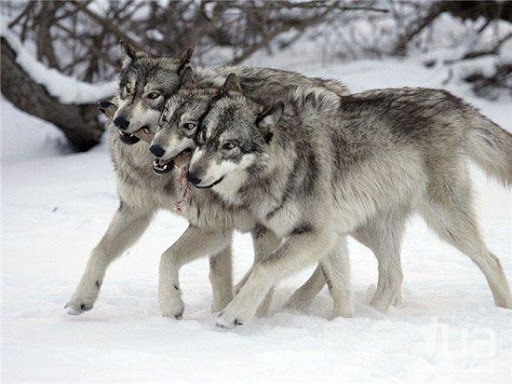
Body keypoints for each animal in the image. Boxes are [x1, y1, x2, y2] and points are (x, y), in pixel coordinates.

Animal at [188, 74, 512, 328]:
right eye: (201, 137)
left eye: (229, 145)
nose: (192, 175)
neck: (287, 158)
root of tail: (452, 101)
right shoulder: (330, 237)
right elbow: (340, 291)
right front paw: (342, 325)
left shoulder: (317, 235)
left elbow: (265, 268)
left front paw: (233, 314)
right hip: (376, 227)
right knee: (393, 275)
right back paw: (373, 318)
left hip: (443, 220)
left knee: (491, 260)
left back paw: (502, 311)